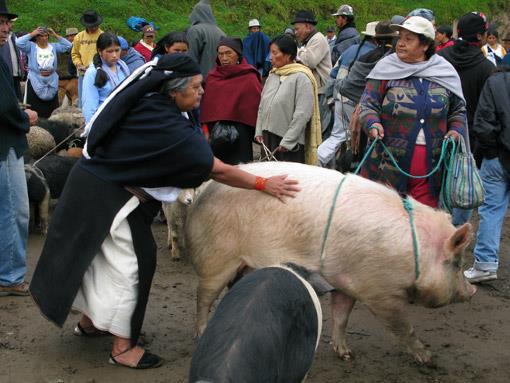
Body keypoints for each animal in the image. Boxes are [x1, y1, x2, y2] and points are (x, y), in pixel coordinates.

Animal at [185, 160, 476, 364]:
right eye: (457, 264)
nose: (472, 290)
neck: (415, 252)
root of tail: (205, 190)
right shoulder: (381, 292)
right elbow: (403, 327)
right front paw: (428, 358)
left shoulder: (347, 281)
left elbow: (341, 316)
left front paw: (346, 355)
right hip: (217, 258)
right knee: (203, 297)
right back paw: (200, 334)